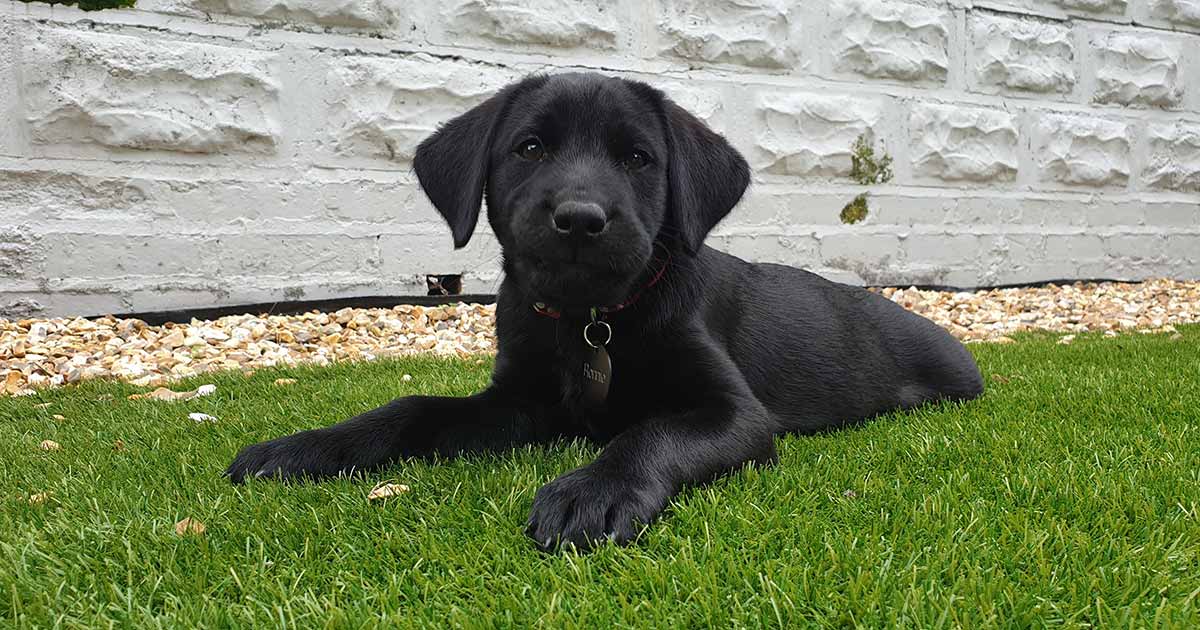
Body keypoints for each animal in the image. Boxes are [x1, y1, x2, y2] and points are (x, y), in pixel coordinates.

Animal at [226, 69, 984, 549]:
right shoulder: (521, 401)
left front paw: (594, 491)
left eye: (639, 159)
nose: (580, 219)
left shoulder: (735, 414)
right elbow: (411, 408)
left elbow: (653, 433)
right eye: (530, 148)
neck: (591, 319)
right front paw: (304, 447)